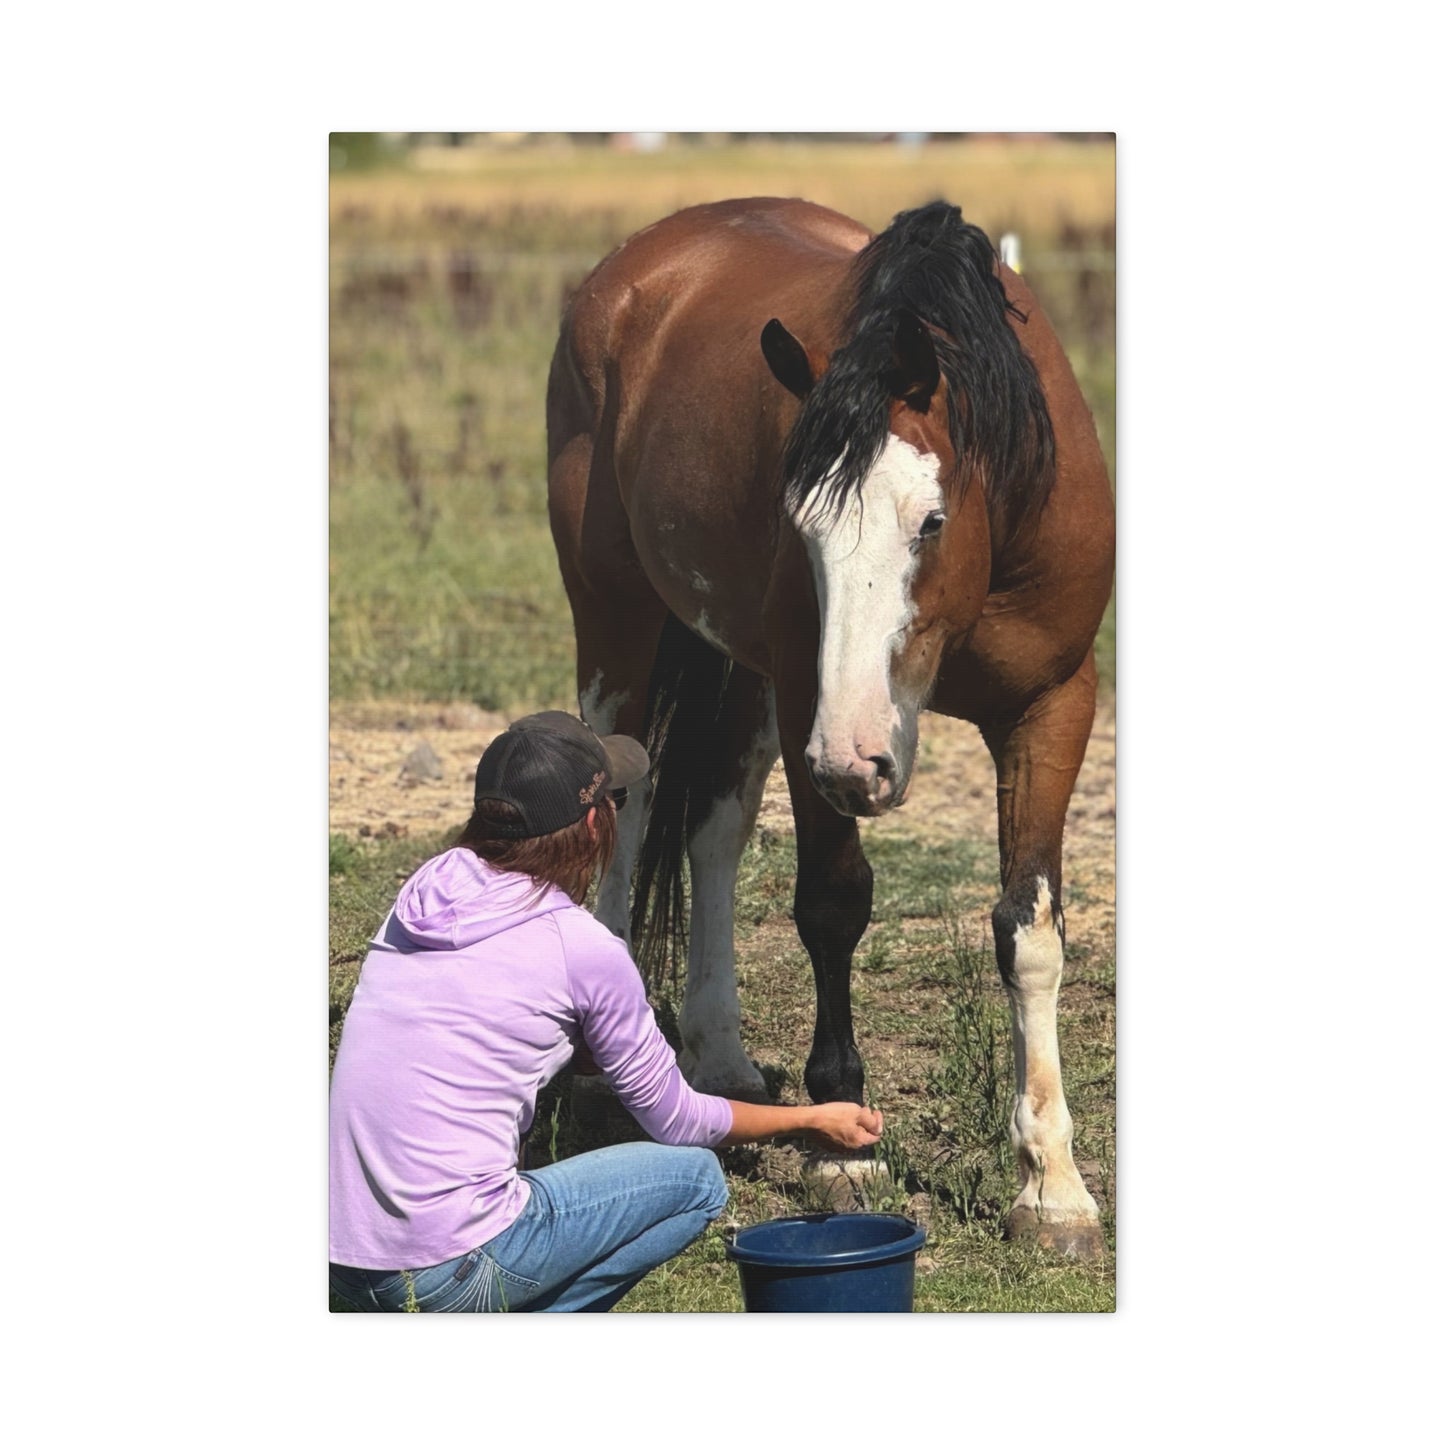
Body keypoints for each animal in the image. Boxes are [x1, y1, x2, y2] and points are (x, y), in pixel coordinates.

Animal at [545, 197, 1115, 1257]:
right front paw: (842, 1142)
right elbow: (831, 903)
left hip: (746, 675)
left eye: (930, 521)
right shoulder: (814, 711)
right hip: (619, 621)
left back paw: (719, 1058)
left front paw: (1050, 1187)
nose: (859, 764)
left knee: (715, 829)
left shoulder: (1051, 706)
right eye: (802, 524)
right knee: (626, 808)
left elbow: (1028, 930)